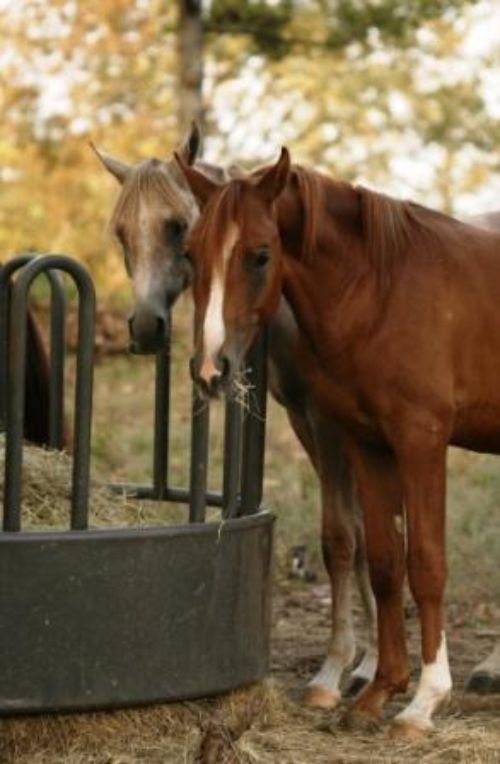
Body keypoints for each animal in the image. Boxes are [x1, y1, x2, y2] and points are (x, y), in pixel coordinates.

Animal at [92, 124, 379, 708]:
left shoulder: (342, 426)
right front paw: (362, 666)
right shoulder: (309, 423)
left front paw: (351, 668)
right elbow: (358, 537)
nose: (146, 328)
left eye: (178, 226)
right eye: (121, 233)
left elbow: (365, 536)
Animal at [176, 147, 500, 736]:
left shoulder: (421, 442)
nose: (212, 368)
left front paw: (423, 702)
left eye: (261, 255)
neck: (384, 291)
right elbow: (384, 560)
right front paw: (379, 690)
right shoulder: (367, 444)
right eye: (191, 252)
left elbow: (426, 563)